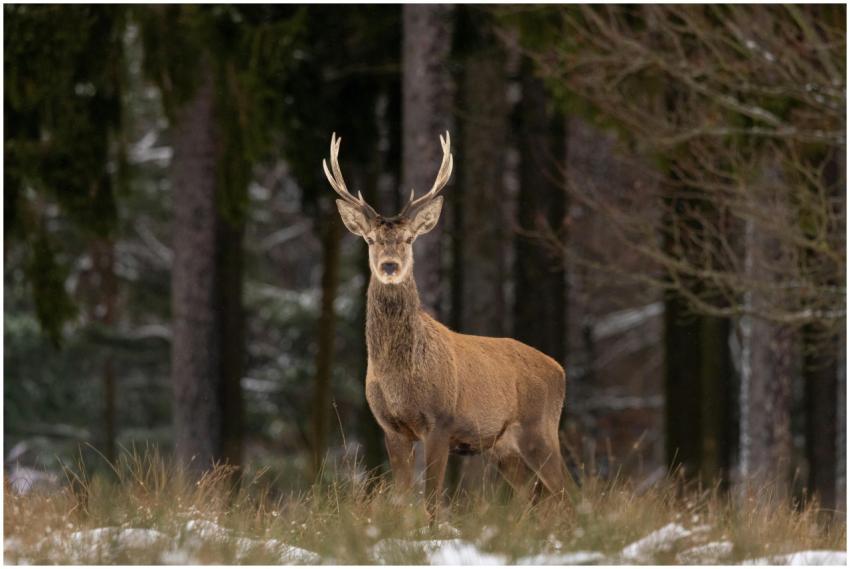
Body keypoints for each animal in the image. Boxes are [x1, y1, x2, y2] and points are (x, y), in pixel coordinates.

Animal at [323, 131, 570, 519]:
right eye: (371, 239)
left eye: (409, 239)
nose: (390, 266)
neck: (399, 376)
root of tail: (560, 369)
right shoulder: (391, 427)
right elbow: (403, 496)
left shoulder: (440, 421)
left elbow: (432, 501)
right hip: (503, 446)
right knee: (532, 494)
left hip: (540, 427)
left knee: (567, 493)